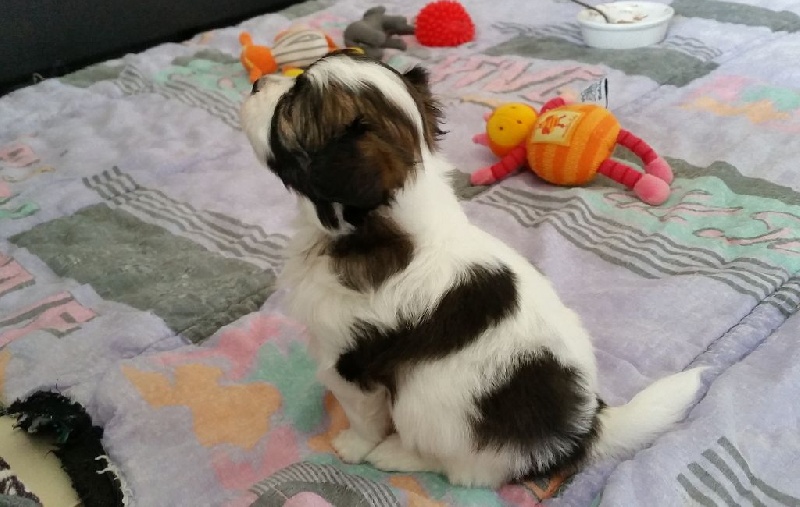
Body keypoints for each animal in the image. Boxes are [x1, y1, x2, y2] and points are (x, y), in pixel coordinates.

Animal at [240, 50, 704, 488]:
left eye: (290, 106)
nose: (256, 82)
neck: (386, 225)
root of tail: (582, 431)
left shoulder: (349, 362)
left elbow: (363, 415)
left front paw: (353, 445)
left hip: (427, 405)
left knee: (463, 470)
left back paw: (397, 454)